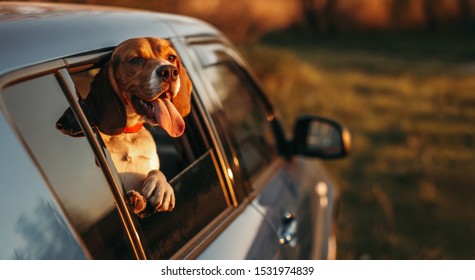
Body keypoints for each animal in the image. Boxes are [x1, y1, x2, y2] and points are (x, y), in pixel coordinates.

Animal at [58, 37, 193, 217]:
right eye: (135, 60)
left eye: (171, 57)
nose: (170, 71)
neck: (126, 135)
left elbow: (156, 171)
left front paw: (161, 187)